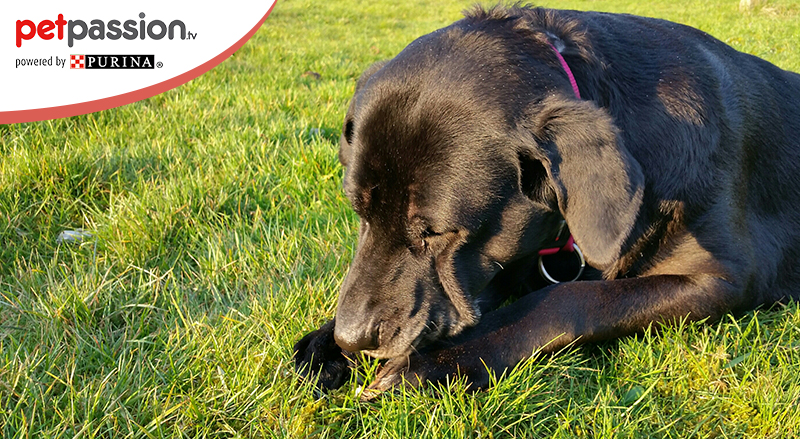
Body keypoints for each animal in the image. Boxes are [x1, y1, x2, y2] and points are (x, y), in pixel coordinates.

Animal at [294, 5, 800, 392]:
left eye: (435, 232)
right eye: (360, 213)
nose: (352, 338)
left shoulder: (722, 278)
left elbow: (568, 298)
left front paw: (444, 359)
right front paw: (323, 344)